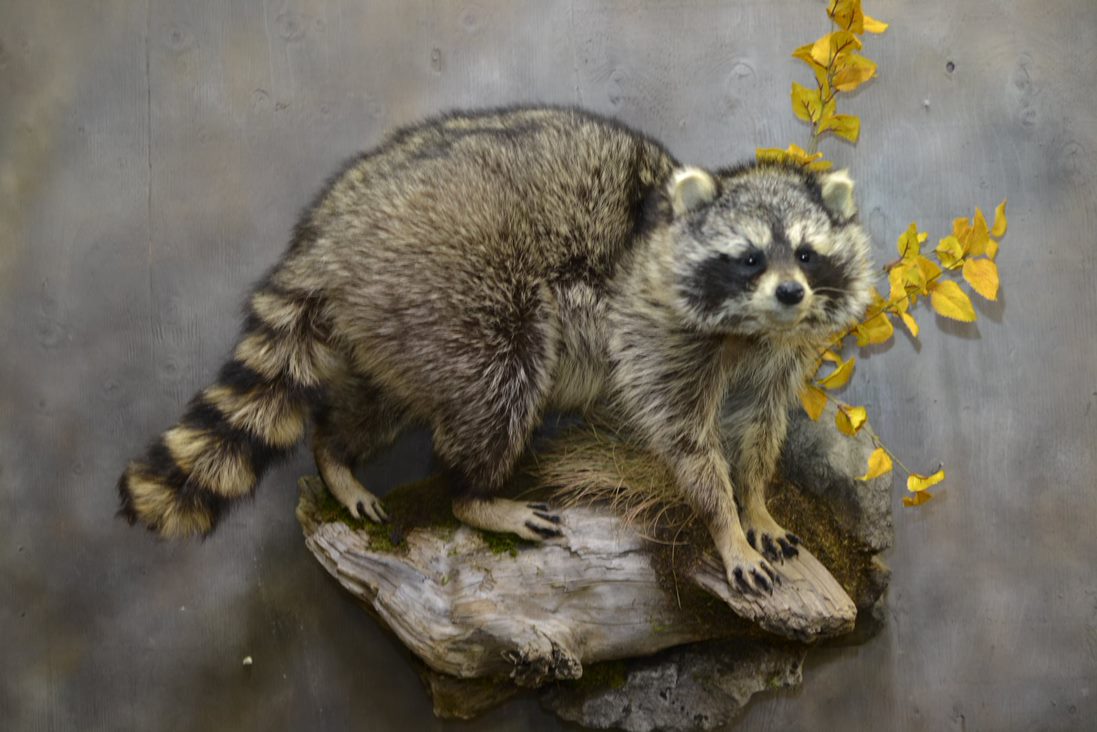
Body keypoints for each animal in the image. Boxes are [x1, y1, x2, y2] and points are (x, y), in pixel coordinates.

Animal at [117, 106, 873, 594]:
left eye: (807, 253)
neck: (752, 327)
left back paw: (335, 449)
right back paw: (472, 494)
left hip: (392, 321)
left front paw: (756, 502)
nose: (789, 292)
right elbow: (683, 435)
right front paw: (723, 521)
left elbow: (759, 426)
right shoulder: (656, 328)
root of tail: (328, 232)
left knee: (385, 401)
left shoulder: (777, 351)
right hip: (456, 294)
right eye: (748, 258)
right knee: (498, 388)